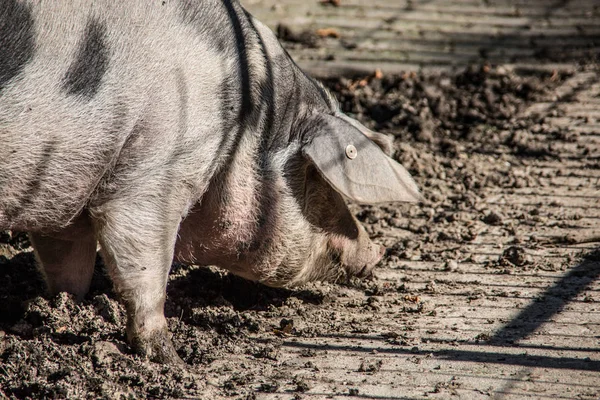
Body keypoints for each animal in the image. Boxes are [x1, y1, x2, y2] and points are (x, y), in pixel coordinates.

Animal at [0, 0, 420, 364]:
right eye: (316, 176)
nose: (376, 251)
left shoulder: (64, 194)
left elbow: (66, 263)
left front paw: (67, 308)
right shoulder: (154, 174)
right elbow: (143, 260)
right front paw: (172, 361)